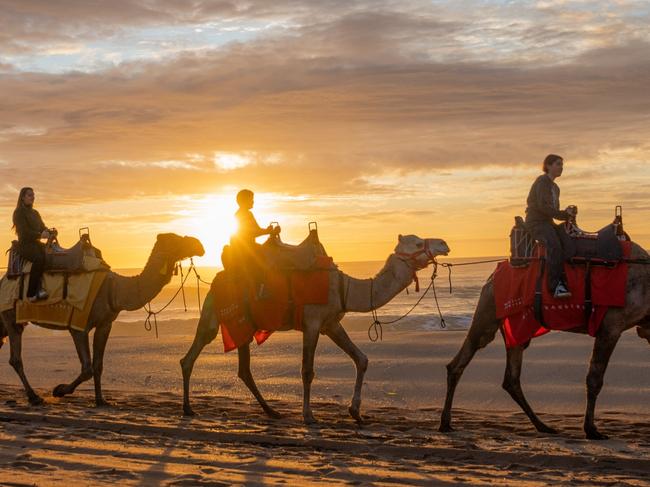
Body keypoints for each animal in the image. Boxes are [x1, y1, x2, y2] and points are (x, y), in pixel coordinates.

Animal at [0, 234, 202, 406]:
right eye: (176, 240)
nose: (199, 245)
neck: (114, 289)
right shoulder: (78, 325)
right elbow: (87, 368)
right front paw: (59, 390)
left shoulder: (105, 324)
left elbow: (98, 365)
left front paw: (100, 400)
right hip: (10, 316)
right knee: (16, 358)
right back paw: (34, 397)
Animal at [180, 235, 448, 424]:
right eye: (417, 242)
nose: (444, 244)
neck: (344, 287)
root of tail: (215, 281)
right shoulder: (312, 322)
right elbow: (307, 370)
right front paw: (308, 415)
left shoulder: (331, 323)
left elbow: (361, 359)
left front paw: (356, 412)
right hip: (218, 313)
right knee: (195, 354)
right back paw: (188, 408)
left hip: (243, 323)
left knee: (240, 369)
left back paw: (271, 411)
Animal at [436, 242, 648, 440]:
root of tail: (492, 277)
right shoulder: (611, 326)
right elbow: (594, 379)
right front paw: (591, 430)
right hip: (490, 309)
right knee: (462, 360)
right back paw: (445, 423)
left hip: (515, 325)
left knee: (511, 377)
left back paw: (543, 426)